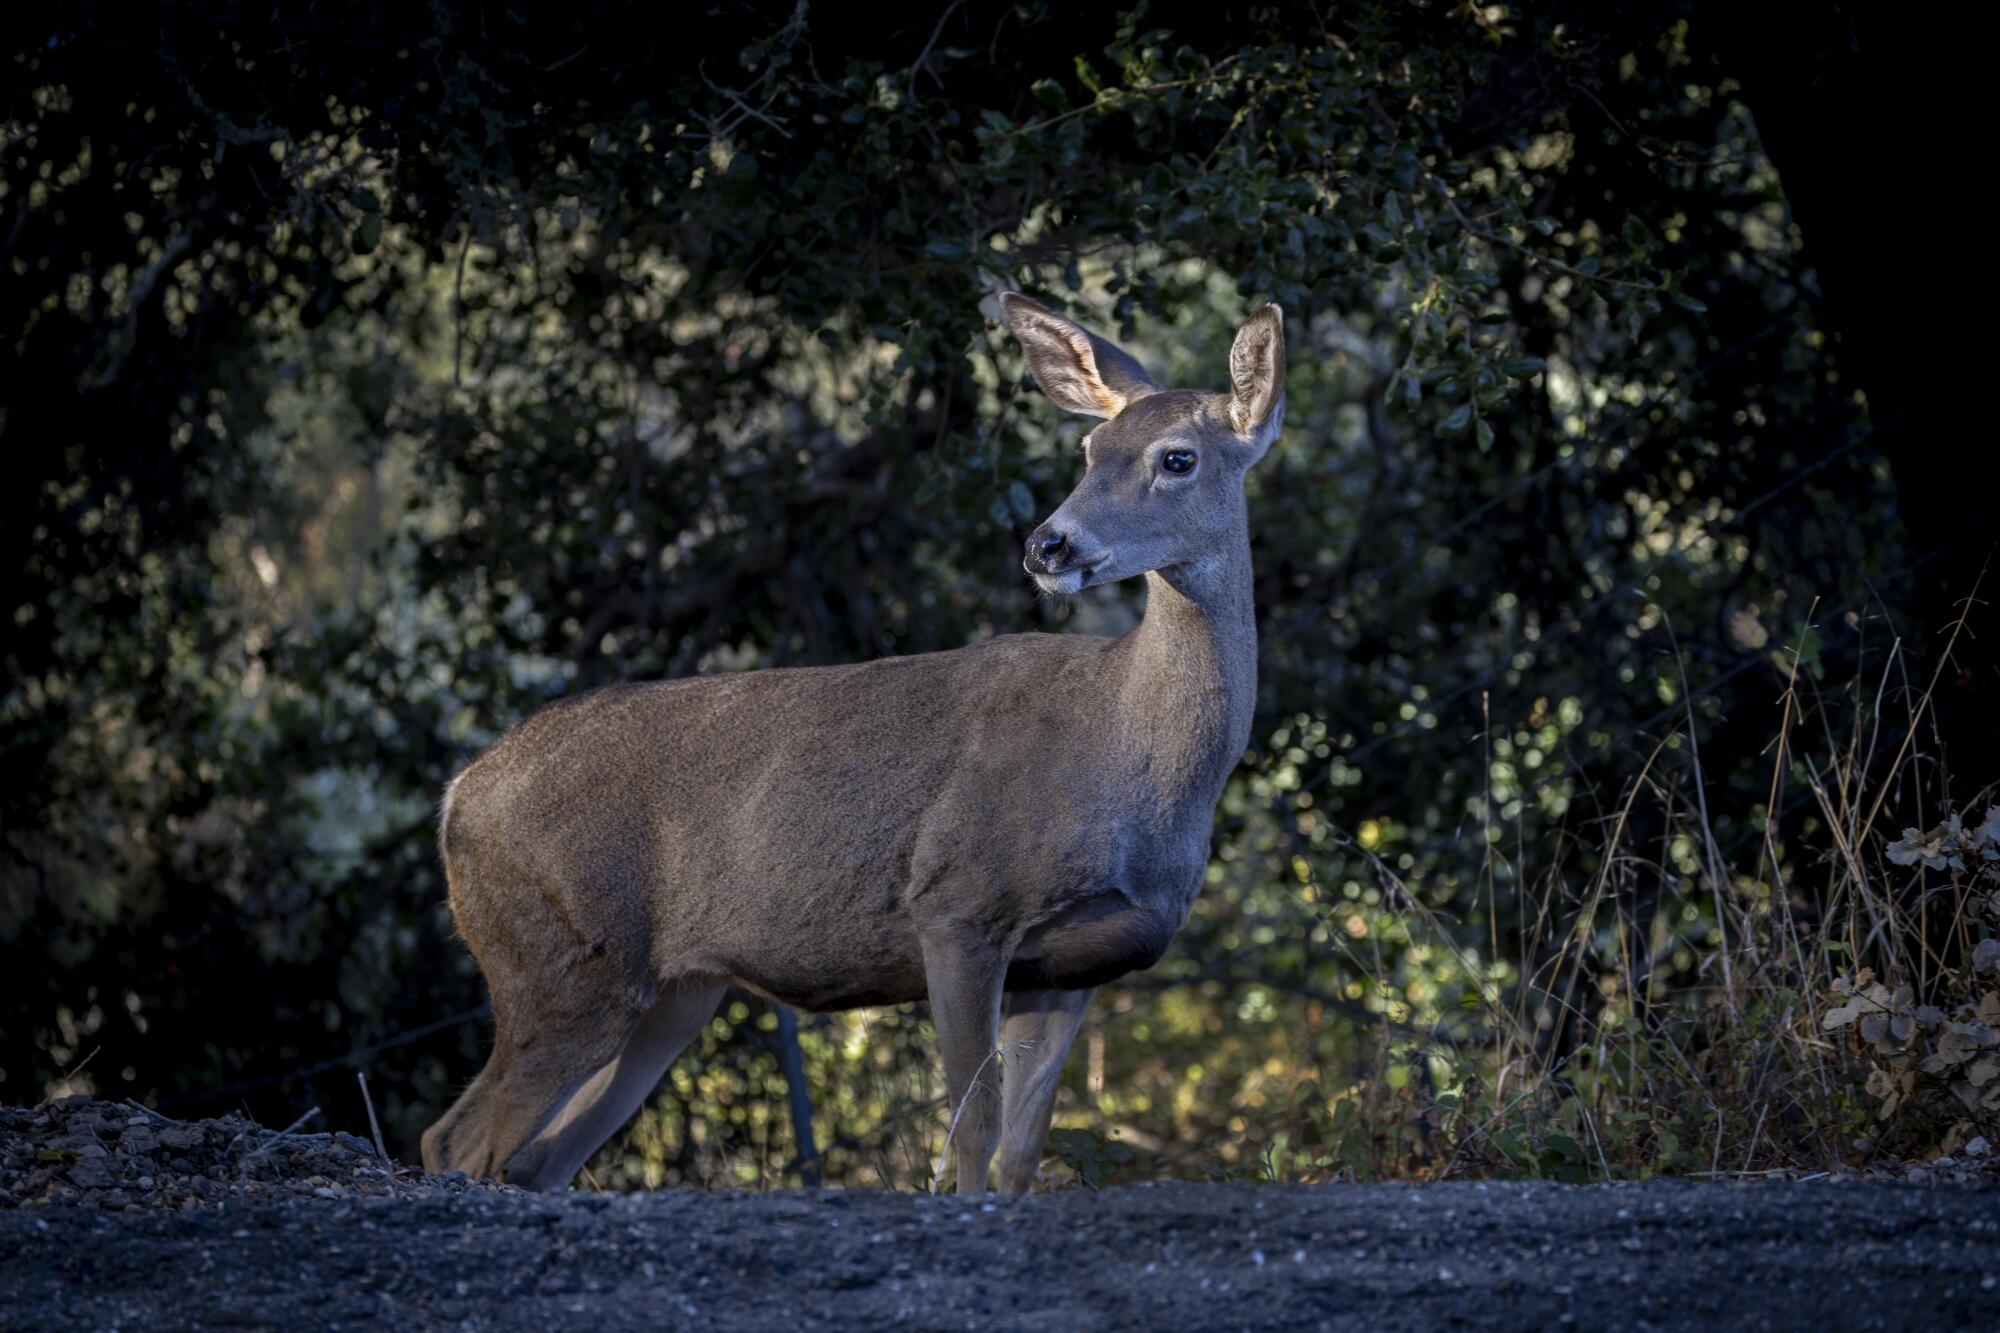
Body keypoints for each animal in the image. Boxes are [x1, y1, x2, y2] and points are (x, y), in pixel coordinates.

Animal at [428, 294, 1288, 1192]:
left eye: (1178, 458)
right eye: (1089, 449)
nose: (1047, 544)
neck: (1131, 762)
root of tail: (458, 794)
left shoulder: (1078, 961)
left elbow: (1022, 1148)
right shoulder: (957, 902)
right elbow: (972, 1129)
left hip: (668, 993)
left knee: (536, 1157)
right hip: (560, 960)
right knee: (457, 1139)